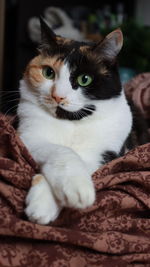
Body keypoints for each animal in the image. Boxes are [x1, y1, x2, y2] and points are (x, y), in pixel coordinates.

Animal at [17, 17, 132, 225]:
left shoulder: (103, 153)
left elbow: (83, 159)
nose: (57, 96)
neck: (72, 122)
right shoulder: (28, 136)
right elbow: (62, 151)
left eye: (84, 79)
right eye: (48, 72)